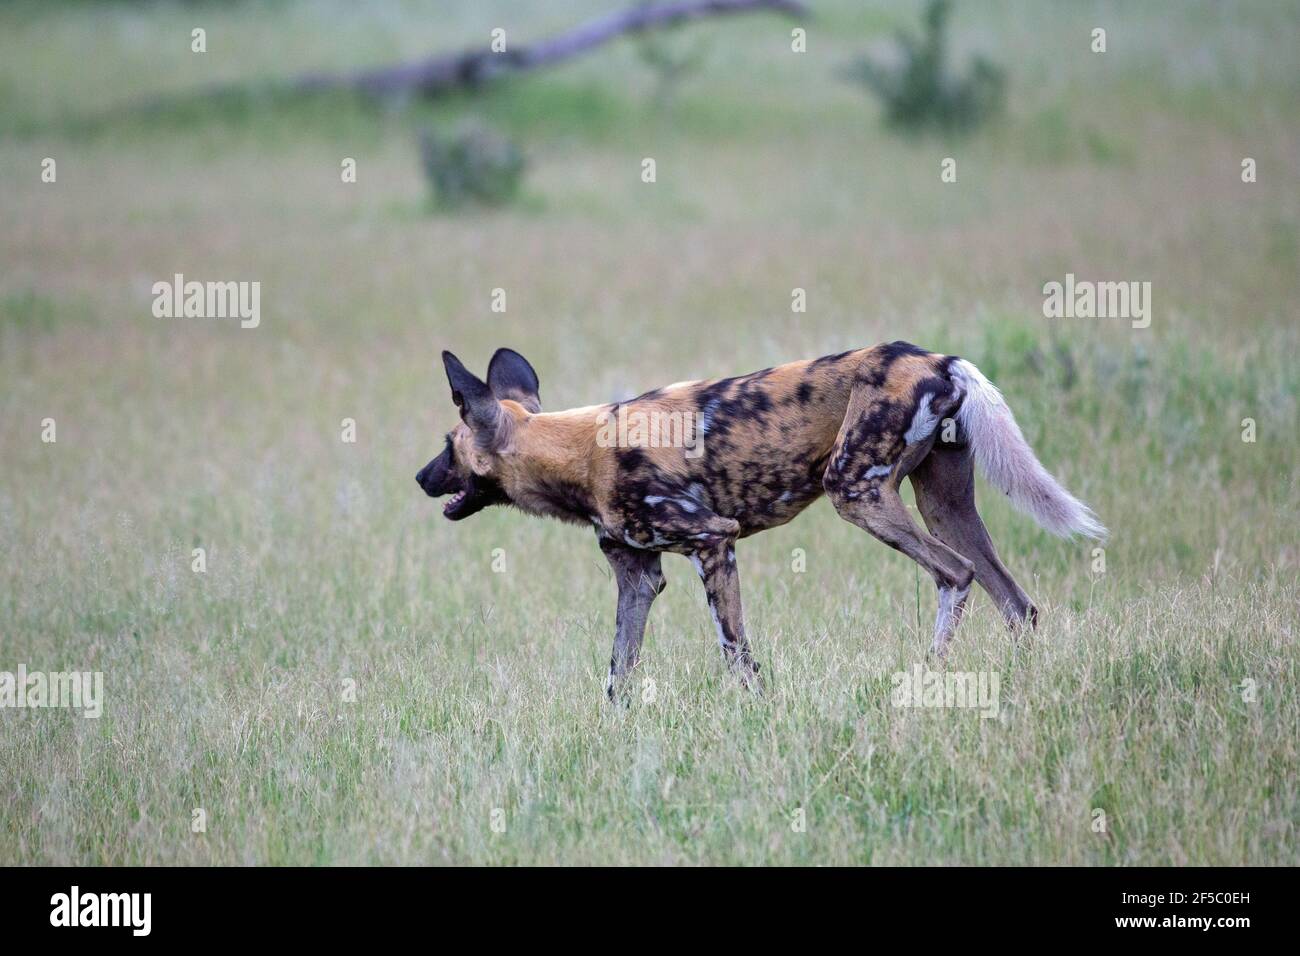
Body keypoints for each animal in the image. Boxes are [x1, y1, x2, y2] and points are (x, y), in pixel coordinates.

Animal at [418, 343, 1107, 697]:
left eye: (448, 446)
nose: (422, 477)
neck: (580, 452)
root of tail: (935, 357)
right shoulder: (638, 577)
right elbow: (618, 673)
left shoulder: (712, 543)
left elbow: (736, 656)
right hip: (943, 506)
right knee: (1016, 604)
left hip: (855, 492)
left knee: (955, 574)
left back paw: (926, 676)